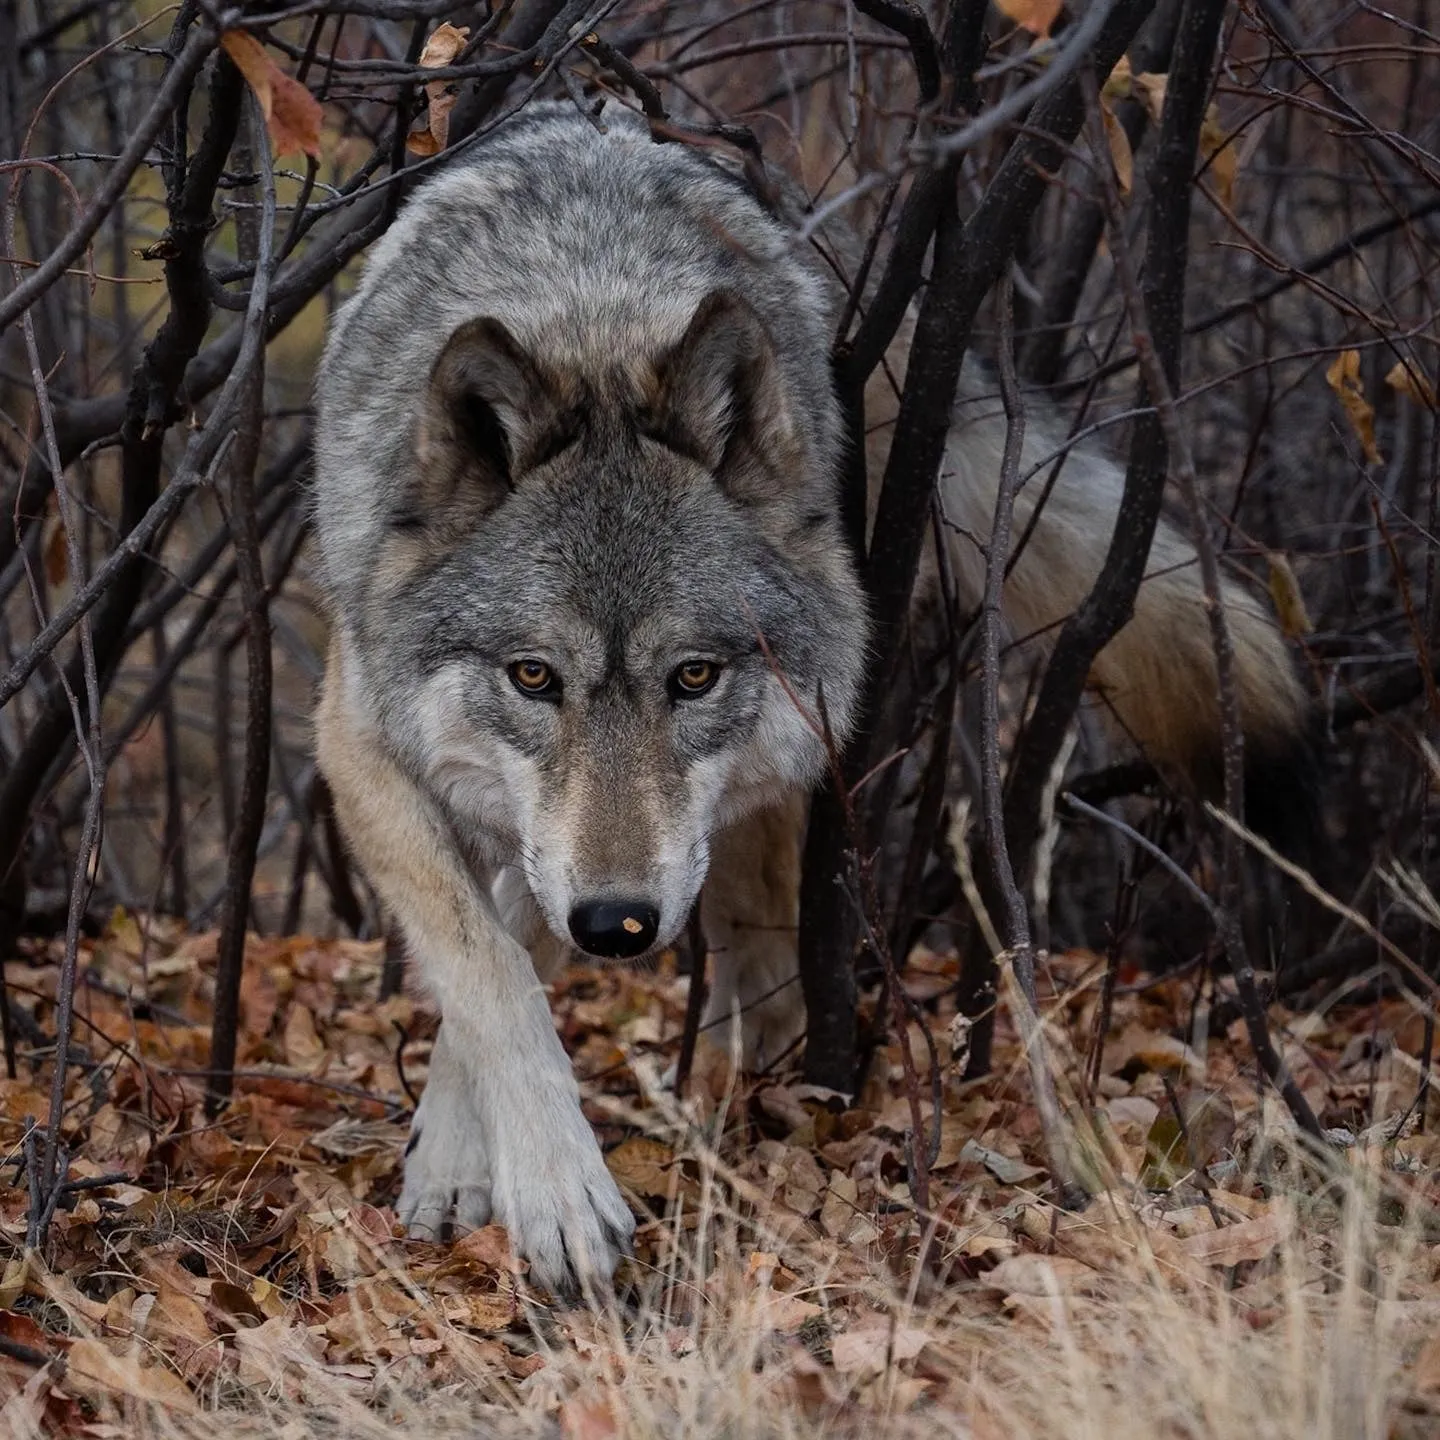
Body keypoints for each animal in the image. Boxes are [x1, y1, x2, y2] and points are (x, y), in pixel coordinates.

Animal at [312, 104, 1307, 1296]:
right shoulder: (357, 743)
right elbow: (489, 966)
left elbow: (512, 944)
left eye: (694, 676)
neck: (593, 320)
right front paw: (522, 1181)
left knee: (761, 968)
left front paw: (495, 1170)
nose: (618, 927)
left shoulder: (621, 852)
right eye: (533, 678)